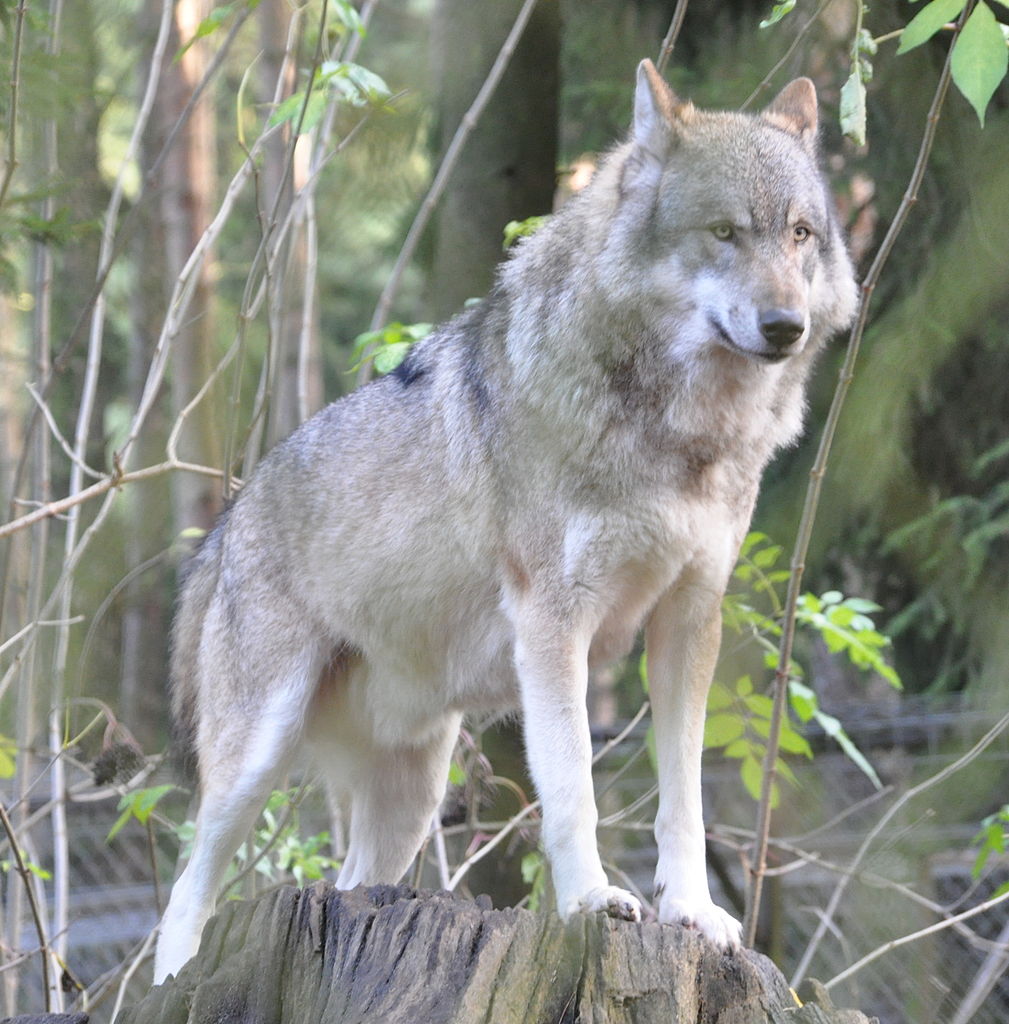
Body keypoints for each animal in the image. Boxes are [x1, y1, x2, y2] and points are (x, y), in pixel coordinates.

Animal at [153, 58, 856, 983]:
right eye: (723, 233)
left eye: (800, 234)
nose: (784, 327)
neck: (677, 437)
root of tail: (224, 529)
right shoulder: (554, 621)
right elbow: (573, 789)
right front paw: (591, 902)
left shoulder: (687, 623)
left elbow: (684, 801)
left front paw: (694, 914)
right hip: (254, 761)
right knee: (182, 896)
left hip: (410, 796)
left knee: (346, 882)